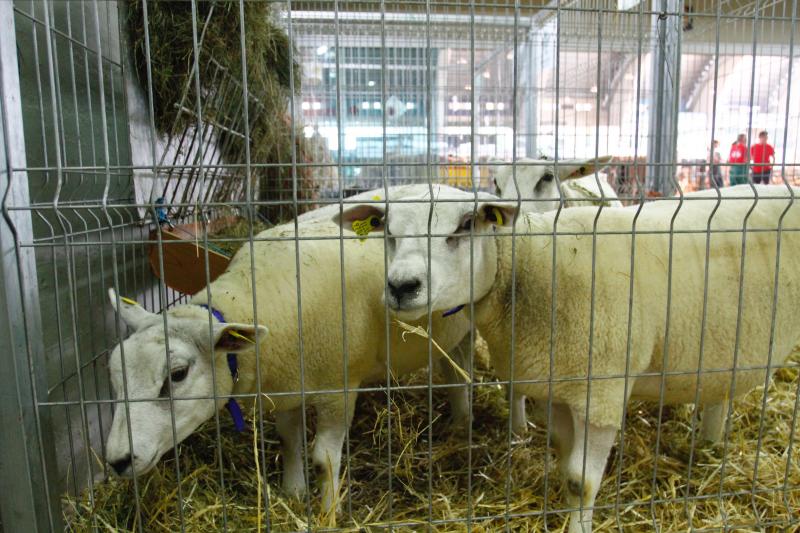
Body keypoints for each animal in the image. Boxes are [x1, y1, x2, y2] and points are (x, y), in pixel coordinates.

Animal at [103, 211, 472, 512]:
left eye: (177, 374)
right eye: (114, 375)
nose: (117, 461)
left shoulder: (339, 386)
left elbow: (323, 459)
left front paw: (328, 513)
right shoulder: (287, 385)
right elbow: (288, 440)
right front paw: (293, 492)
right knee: (455, 372)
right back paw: (459, 424)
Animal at [334, 184, 800, 532]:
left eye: (465, 225)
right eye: (388, 232)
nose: (401, 286)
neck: (534, 267)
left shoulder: (602, 393)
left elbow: (581, 481)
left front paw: (578, 522)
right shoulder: (555, 385)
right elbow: (562, 462)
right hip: (724, 346)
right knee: (721, 394)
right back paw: (708, 446)